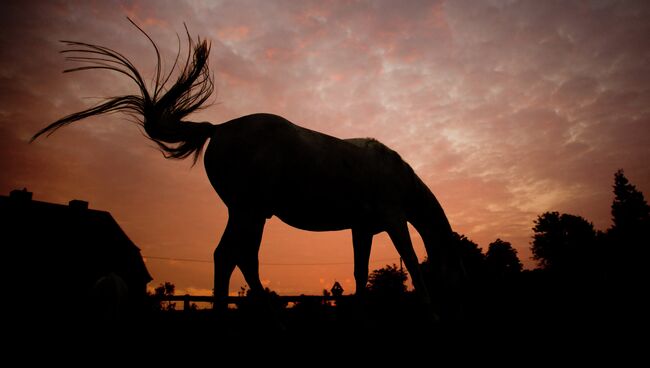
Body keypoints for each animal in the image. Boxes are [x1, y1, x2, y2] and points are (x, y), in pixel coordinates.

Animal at [33, 21, 464, 320]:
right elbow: (411, 262)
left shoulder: (363, 229)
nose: (456, 305)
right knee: (230, 256)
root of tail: (219, 129)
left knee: (242, 258)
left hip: (251, 214)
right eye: (455, 266)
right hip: (248, 211)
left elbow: (360, 272)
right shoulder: (394, 220)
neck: (394, 172)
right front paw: (430, 312)